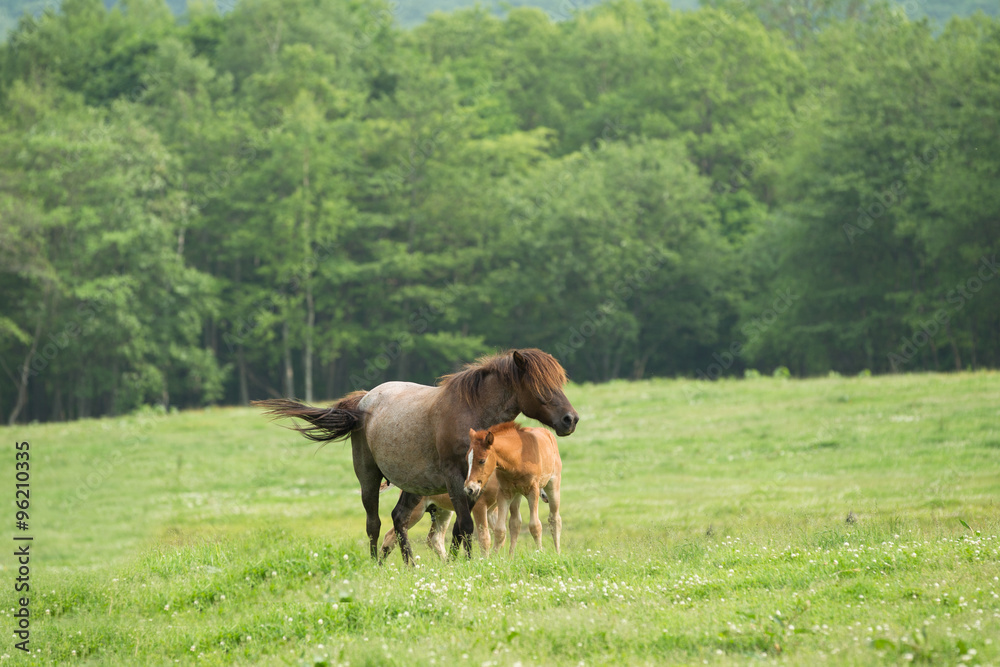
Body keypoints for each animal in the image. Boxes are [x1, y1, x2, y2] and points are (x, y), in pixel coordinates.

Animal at [464, 422, 563, 554]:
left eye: (482, 461)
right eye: (467, 459)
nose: (469, 488)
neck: (517, 459)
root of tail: (548, 433)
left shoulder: (533, 490)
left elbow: (535, 526)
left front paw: (540, 553)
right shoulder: (505, 492)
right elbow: (500, 530)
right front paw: (495, 557)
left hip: (553, 484)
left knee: (554, 519)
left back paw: (558, 553)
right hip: (517, 494)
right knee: (515, 523)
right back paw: (511, 556)